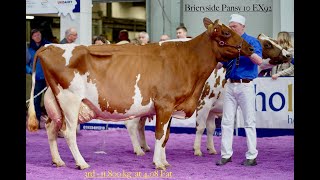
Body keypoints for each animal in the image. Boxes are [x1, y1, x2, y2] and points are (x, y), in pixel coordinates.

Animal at [26, 18, 254, 170]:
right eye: (226, 33)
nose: (251, 47)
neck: (187, 60)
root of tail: (49, 46)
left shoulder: (170, 107)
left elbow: (166, 136)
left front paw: (164, 161)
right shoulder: (164, 104)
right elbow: (160, 134)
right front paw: (158, 164)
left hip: (55, 102)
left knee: (51, 128)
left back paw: (58, 160)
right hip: (70, 101)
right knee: (68, 132)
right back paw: (82, 163)